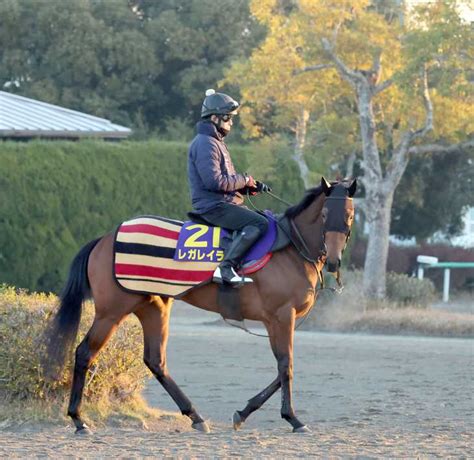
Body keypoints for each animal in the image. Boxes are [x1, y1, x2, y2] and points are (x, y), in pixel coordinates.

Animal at [44, 176, 356, 434]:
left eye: (350, 216)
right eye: (325, 214)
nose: (333, 260)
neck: (291, 247)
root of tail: (106, 238)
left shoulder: (278, 320)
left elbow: (282, 369)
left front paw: (244, 412)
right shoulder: (280, 316)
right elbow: (286, 366)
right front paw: (292, 418)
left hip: (153, 307)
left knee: (156, 361)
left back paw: (195, 416)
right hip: (111, 312)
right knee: (84, 353)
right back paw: (78, 419)